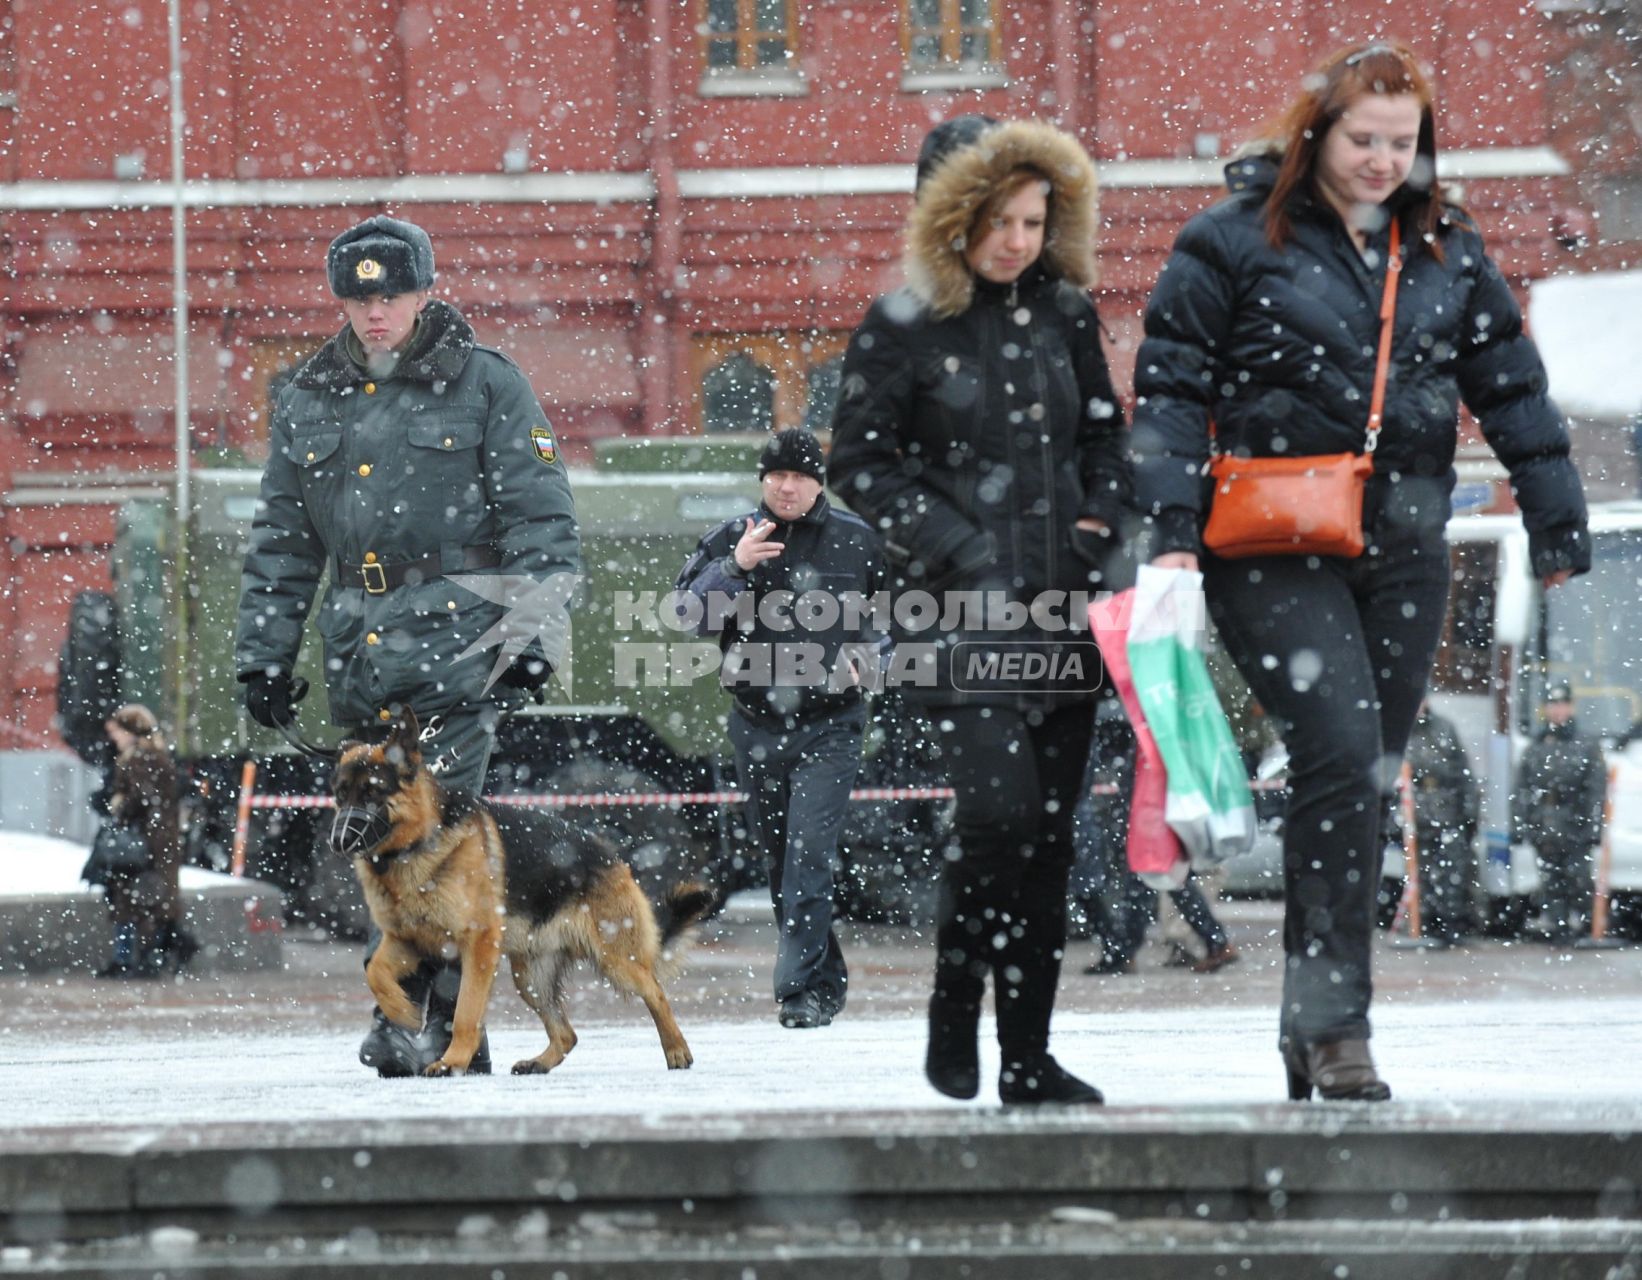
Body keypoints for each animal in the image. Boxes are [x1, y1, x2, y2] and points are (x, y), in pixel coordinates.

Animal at [323, 715, 709, 1076]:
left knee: (655, 991)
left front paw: (452, 1061)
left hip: (616, 960)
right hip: (530, 977)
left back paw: (677, 1050)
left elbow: (465, 1012)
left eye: (372, 793)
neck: (414, 846)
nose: (337, 842)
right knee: (567, 1034)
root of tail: (612, 855)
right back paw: (539, 1062)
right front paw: (402, 1012)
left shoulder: (478, 946)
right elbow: (375, 973)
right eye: (340, 795)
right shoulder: (406, 940)